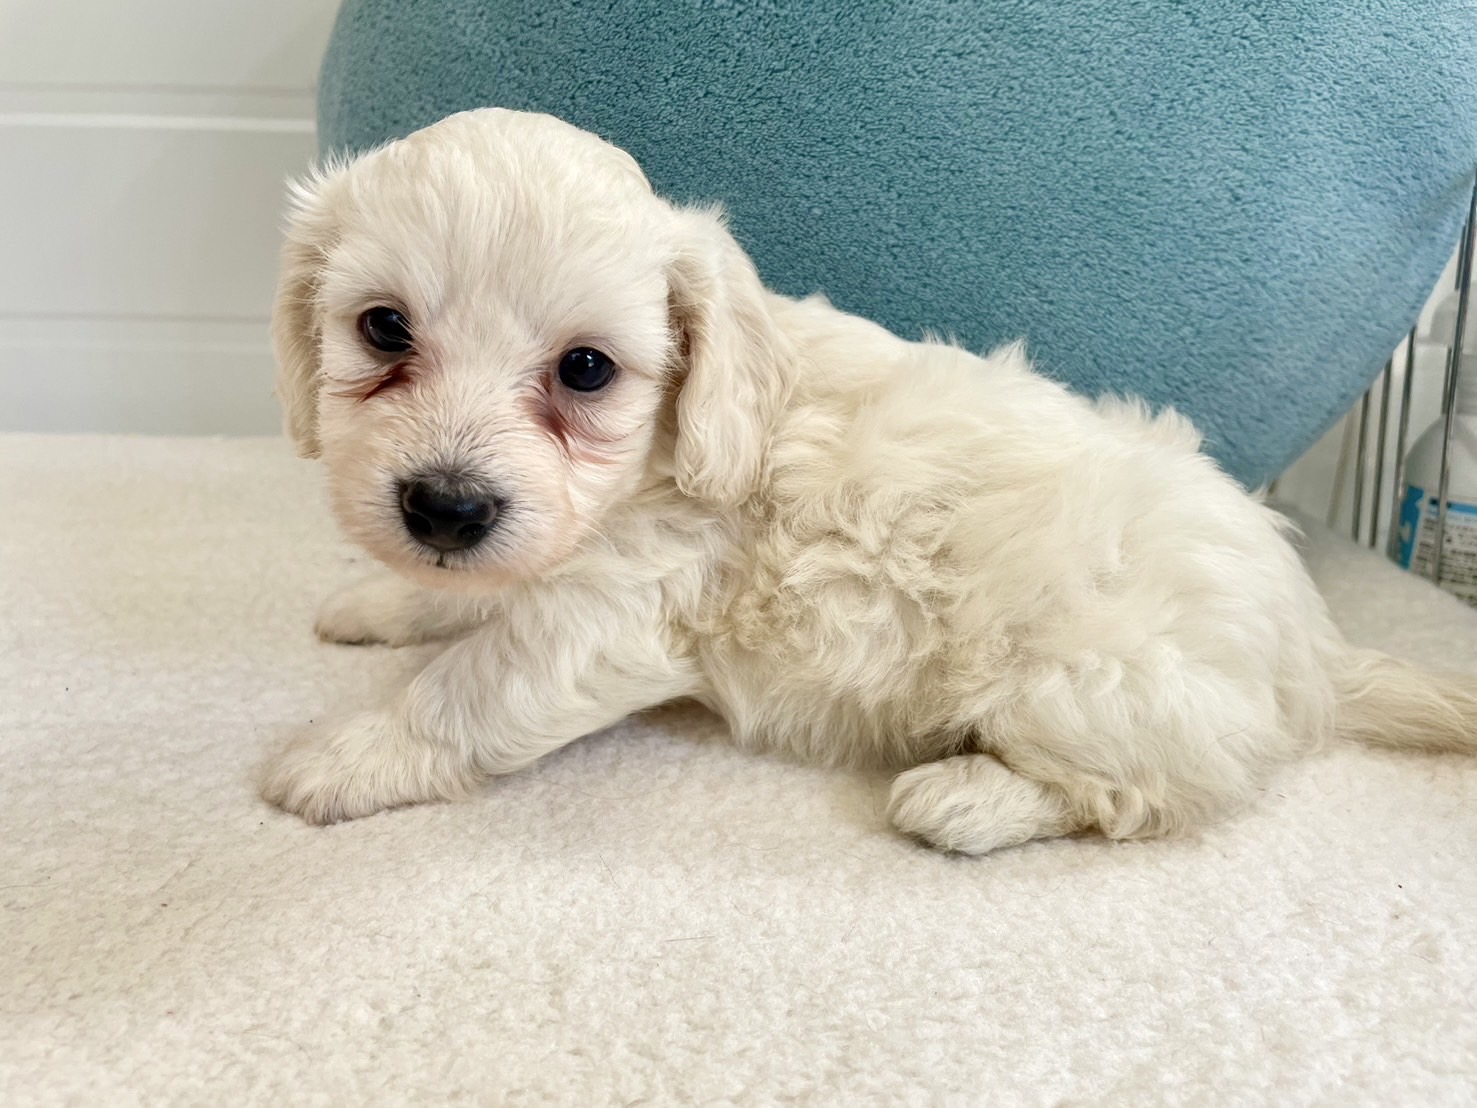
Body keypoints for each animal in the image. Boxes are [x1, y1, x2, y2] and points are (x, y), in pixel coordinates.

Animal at [261, 108, 1476, 854]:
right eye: (382, 330)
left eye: (588, 369)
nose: (445, 508)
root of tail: (1313, 650)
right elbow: (460, 601)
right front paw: (384, 600)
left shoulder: (617, 609)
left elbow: (473, 686)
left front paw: (348, 753)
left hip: (1086, 681)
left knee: (1141, 793)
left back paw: (967, 798)